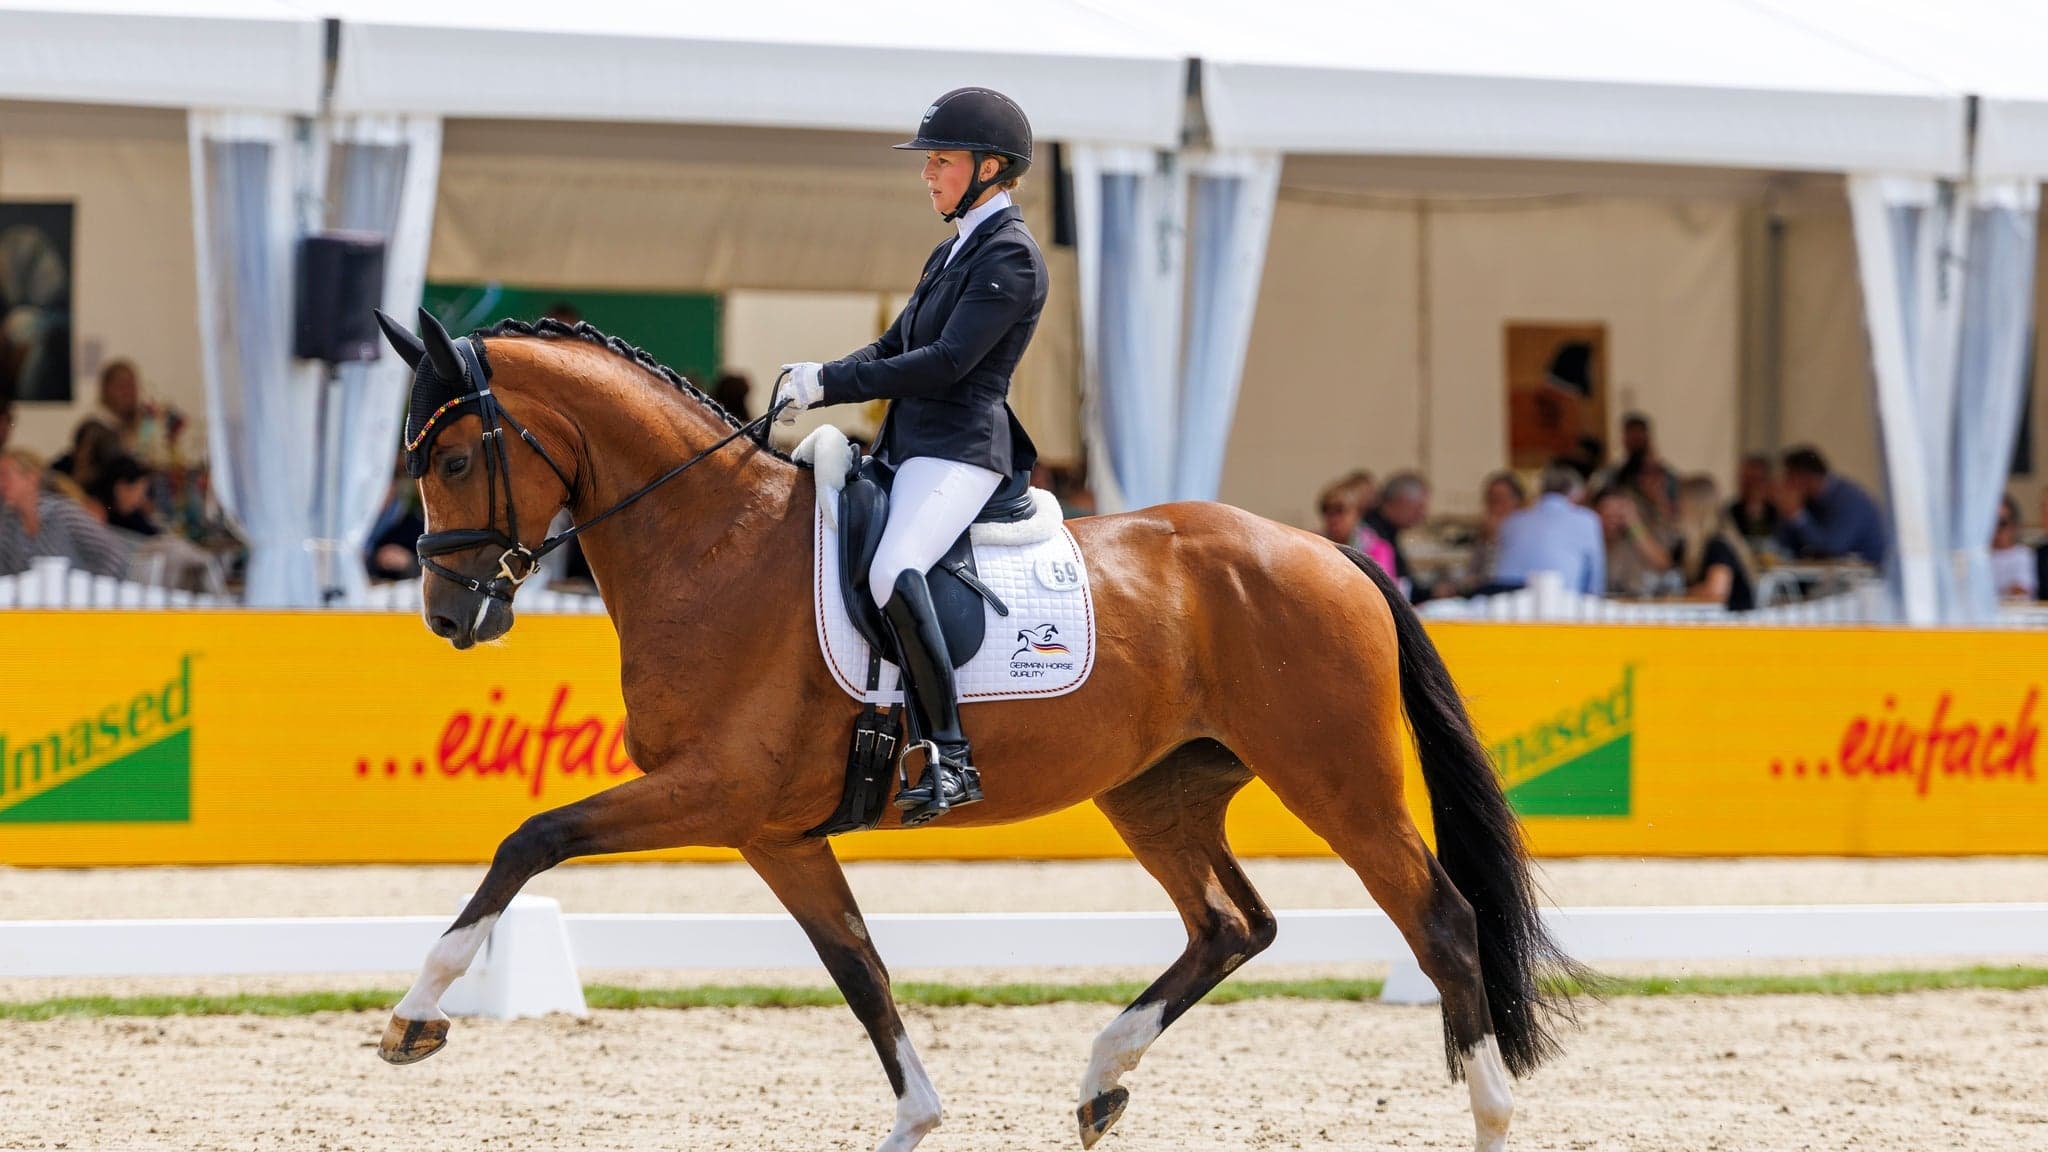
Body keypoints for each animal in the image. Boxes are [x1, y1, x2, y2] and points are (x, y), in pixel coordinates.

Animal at [371, 311, 1578, 1152]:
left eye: (455, 460)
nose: (448, 615)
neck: (713, 544)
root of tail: (1329, 552)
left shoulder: (712, 791)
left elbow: (529, 840)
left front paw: (415, 1017)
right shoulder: (774, 832)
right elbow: (858, 967)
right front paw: (915, 1119)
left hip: (1336, 778)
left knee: (1441, 920)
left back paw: (1488, 1119)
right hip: (1159, 790)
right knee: (1232, 924)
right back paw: (1100, 1080)